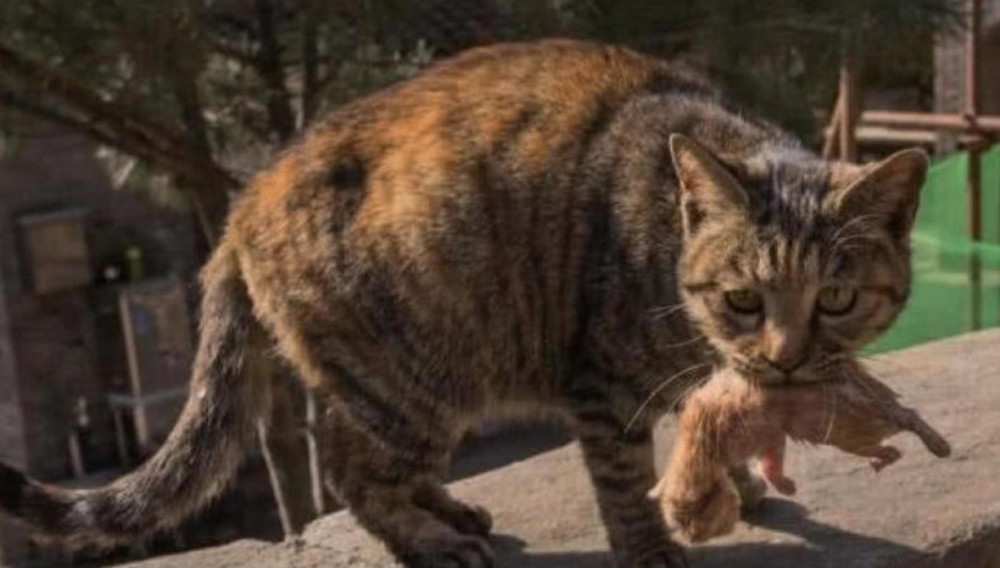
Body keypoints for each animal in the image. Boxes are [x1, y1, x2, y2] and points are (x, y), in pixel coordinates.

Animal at [652, 362, 948, 544]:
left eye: (694, 519)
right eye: (677, 526)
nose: (691, 539)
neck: (697, 445)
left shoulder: (762, 431)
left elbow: (770, 465)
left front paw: (786, 488)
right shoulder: (773, 437)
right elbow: (771, 465)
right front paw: (787, 486)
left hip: (839, 428)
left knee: (905, 419)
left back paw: (939, 447)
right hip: (848, 428)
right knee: (896, 435)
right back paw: (882, 460)